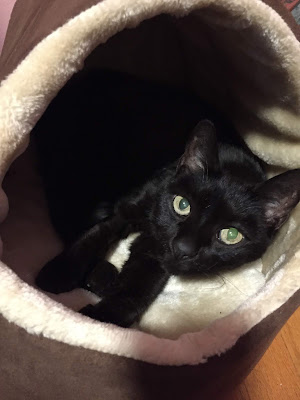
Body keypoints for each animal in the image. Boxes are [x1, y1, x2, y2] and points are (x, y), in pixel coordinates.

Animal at [35, 102, 300, 324]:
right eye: (182, 205)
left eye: (231, 235)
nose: (183, 248)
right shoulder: (128, 209)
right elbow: (94, 235)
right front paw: (58, 274)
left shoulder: (155, 253)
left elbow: (138, 287)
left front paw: (101, 321)